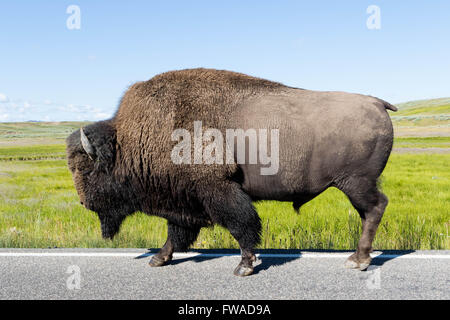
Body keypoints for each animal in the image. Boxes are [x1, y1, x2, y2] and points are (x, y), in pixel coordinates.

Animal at [65, 68, 396, 278]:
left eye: (88, 170)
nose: (82, 202)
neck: (132, 140)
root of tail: (376, 102)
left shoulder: (219, 190)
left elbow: (242, 226)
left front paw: (245, 266)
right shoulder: (184, 201)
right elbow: (177, 233)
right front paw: (159, 259)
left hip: (355, 183)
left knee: (375, 208)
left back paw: (358, 261)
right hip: (354, 185)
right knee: (370, 212)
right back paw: (358, 258)